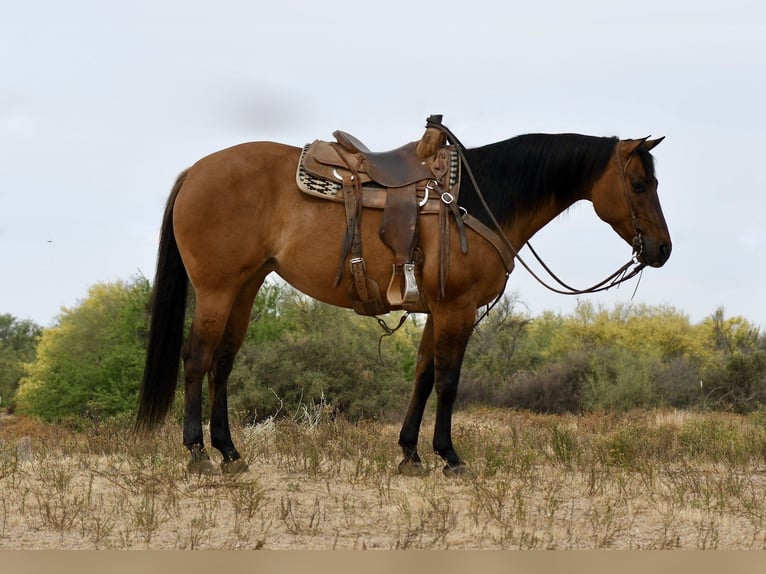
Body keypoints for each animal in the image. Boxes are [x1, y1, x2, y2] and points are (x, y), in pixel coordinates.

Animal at [135, 122, 671, 476]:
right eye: (639, 184)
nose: (662, 250)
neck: (479, 200)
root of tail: (196, 172)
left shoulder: (438, 310)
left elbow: (423, 377)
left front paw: (410, 453)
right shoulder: (458, 309)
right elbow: (449, 380)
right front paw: (449, 456)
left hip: (246, 287)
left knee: (223, 362)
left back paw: (229, 452)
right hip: (217, 289)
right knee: (197, 358)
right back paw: (197, 453)